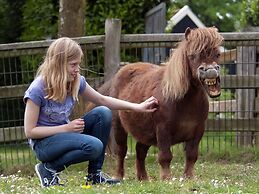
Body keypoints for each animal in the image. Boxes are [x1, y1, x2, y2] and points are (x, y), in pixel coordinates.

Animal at [87, 27, 223, 180]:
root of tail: (118, 74)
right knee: (121, 152)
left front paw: (189, 177)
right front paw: (166, 179)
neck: (183, 101)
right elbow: (165, 156)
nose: (210, 71)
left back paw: (143, 178)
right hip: (119, 127)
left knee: (140, 151)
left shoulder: (198, 131)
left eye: (218, 54)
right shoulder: (163, 130)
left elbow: (192, 155)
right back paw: (119, 176)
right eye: (192, 55)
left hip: (144, 131)